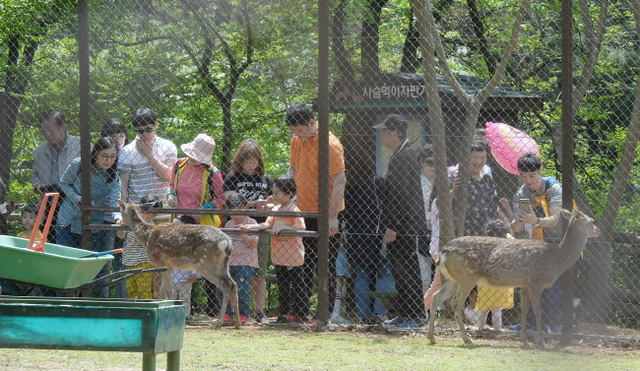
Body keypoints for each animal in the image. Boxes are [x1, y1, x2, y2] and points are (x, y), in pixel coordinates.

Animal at [119, 202, 241, 330]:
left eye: (121, 210)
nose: (120, 222)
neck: (146, 237)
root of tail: (227, 242)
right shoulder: (169, 266)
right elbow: (162, 290)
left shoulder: (161, 262)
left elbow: (168, 290)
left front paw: (169, 308)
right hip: (223, 264)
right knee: (233, 283)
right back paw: (237, 323)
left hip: (204, 263)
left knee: (226, 284)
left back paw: (218, 324)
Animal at [430, 209, 600, 348]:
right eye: (592, 221)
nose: (598, 231)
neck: (557, 259)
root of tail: (443, 251)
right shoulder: (536, 281)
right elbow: (538, 312)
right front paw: (542, 343)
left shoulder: (524, 284)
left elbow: (524, 310)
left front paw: (525, 341)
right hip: (466, 276)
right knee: (456, 303)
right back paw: (467, 340)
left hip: (452, 279)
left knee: (436, 297)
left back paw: (431, 337)